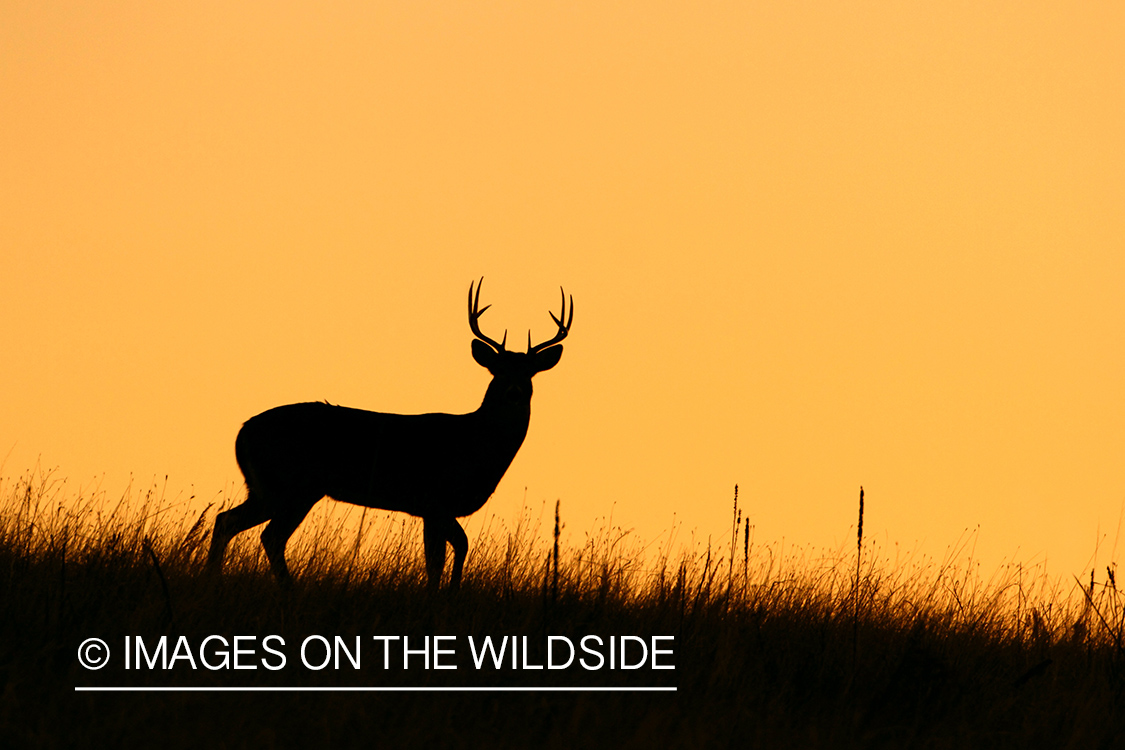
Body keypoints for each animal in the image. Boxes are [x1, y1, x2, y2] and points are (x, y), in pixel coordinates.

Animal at [207, 278, 571, 589]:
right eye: (498, 370)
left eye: (530, 373)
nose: (514, 392)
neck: (475, 443)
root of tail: (243, 432)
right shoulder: (434, 499)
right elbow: (444, 556)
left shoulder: (433, 509)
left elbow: (451, 551)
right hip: (291, 484)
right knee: (267, 535)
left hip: (270, 487)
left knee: (228, 521)